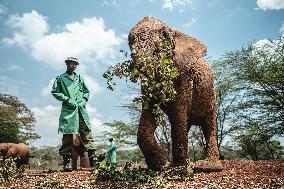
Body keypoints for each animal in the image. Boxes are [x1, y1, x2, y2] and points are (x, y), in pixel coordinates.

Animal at [127, 17, 223, 171]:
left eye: (163, 35)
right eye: (130, 45)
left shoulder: (184, 75)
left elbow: (178, 108)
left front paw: (180, 170)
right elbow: (148, 114)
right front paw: (162, 166)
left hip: (212, 95)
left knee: (209, 125)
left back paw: (209, 166)